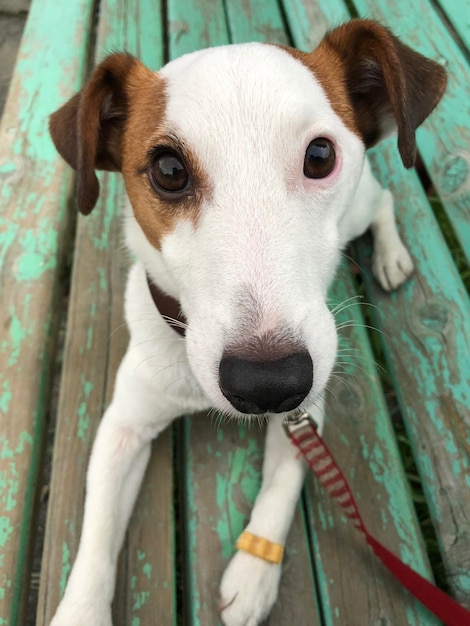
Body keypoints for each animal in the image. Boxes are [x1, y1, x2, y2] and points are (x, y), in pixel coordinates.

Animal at [48, 19, 448, 624]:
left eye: (320, 155)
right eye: (168, 170)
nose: (268, 385)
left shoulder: (307, 410)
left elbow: (280, 487)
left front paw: (254, 574)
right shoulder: (123, 426)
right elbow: (96, 536)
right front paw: (80, 610)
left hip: (357, 212)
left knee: (383, 203)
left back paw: (391, 255)